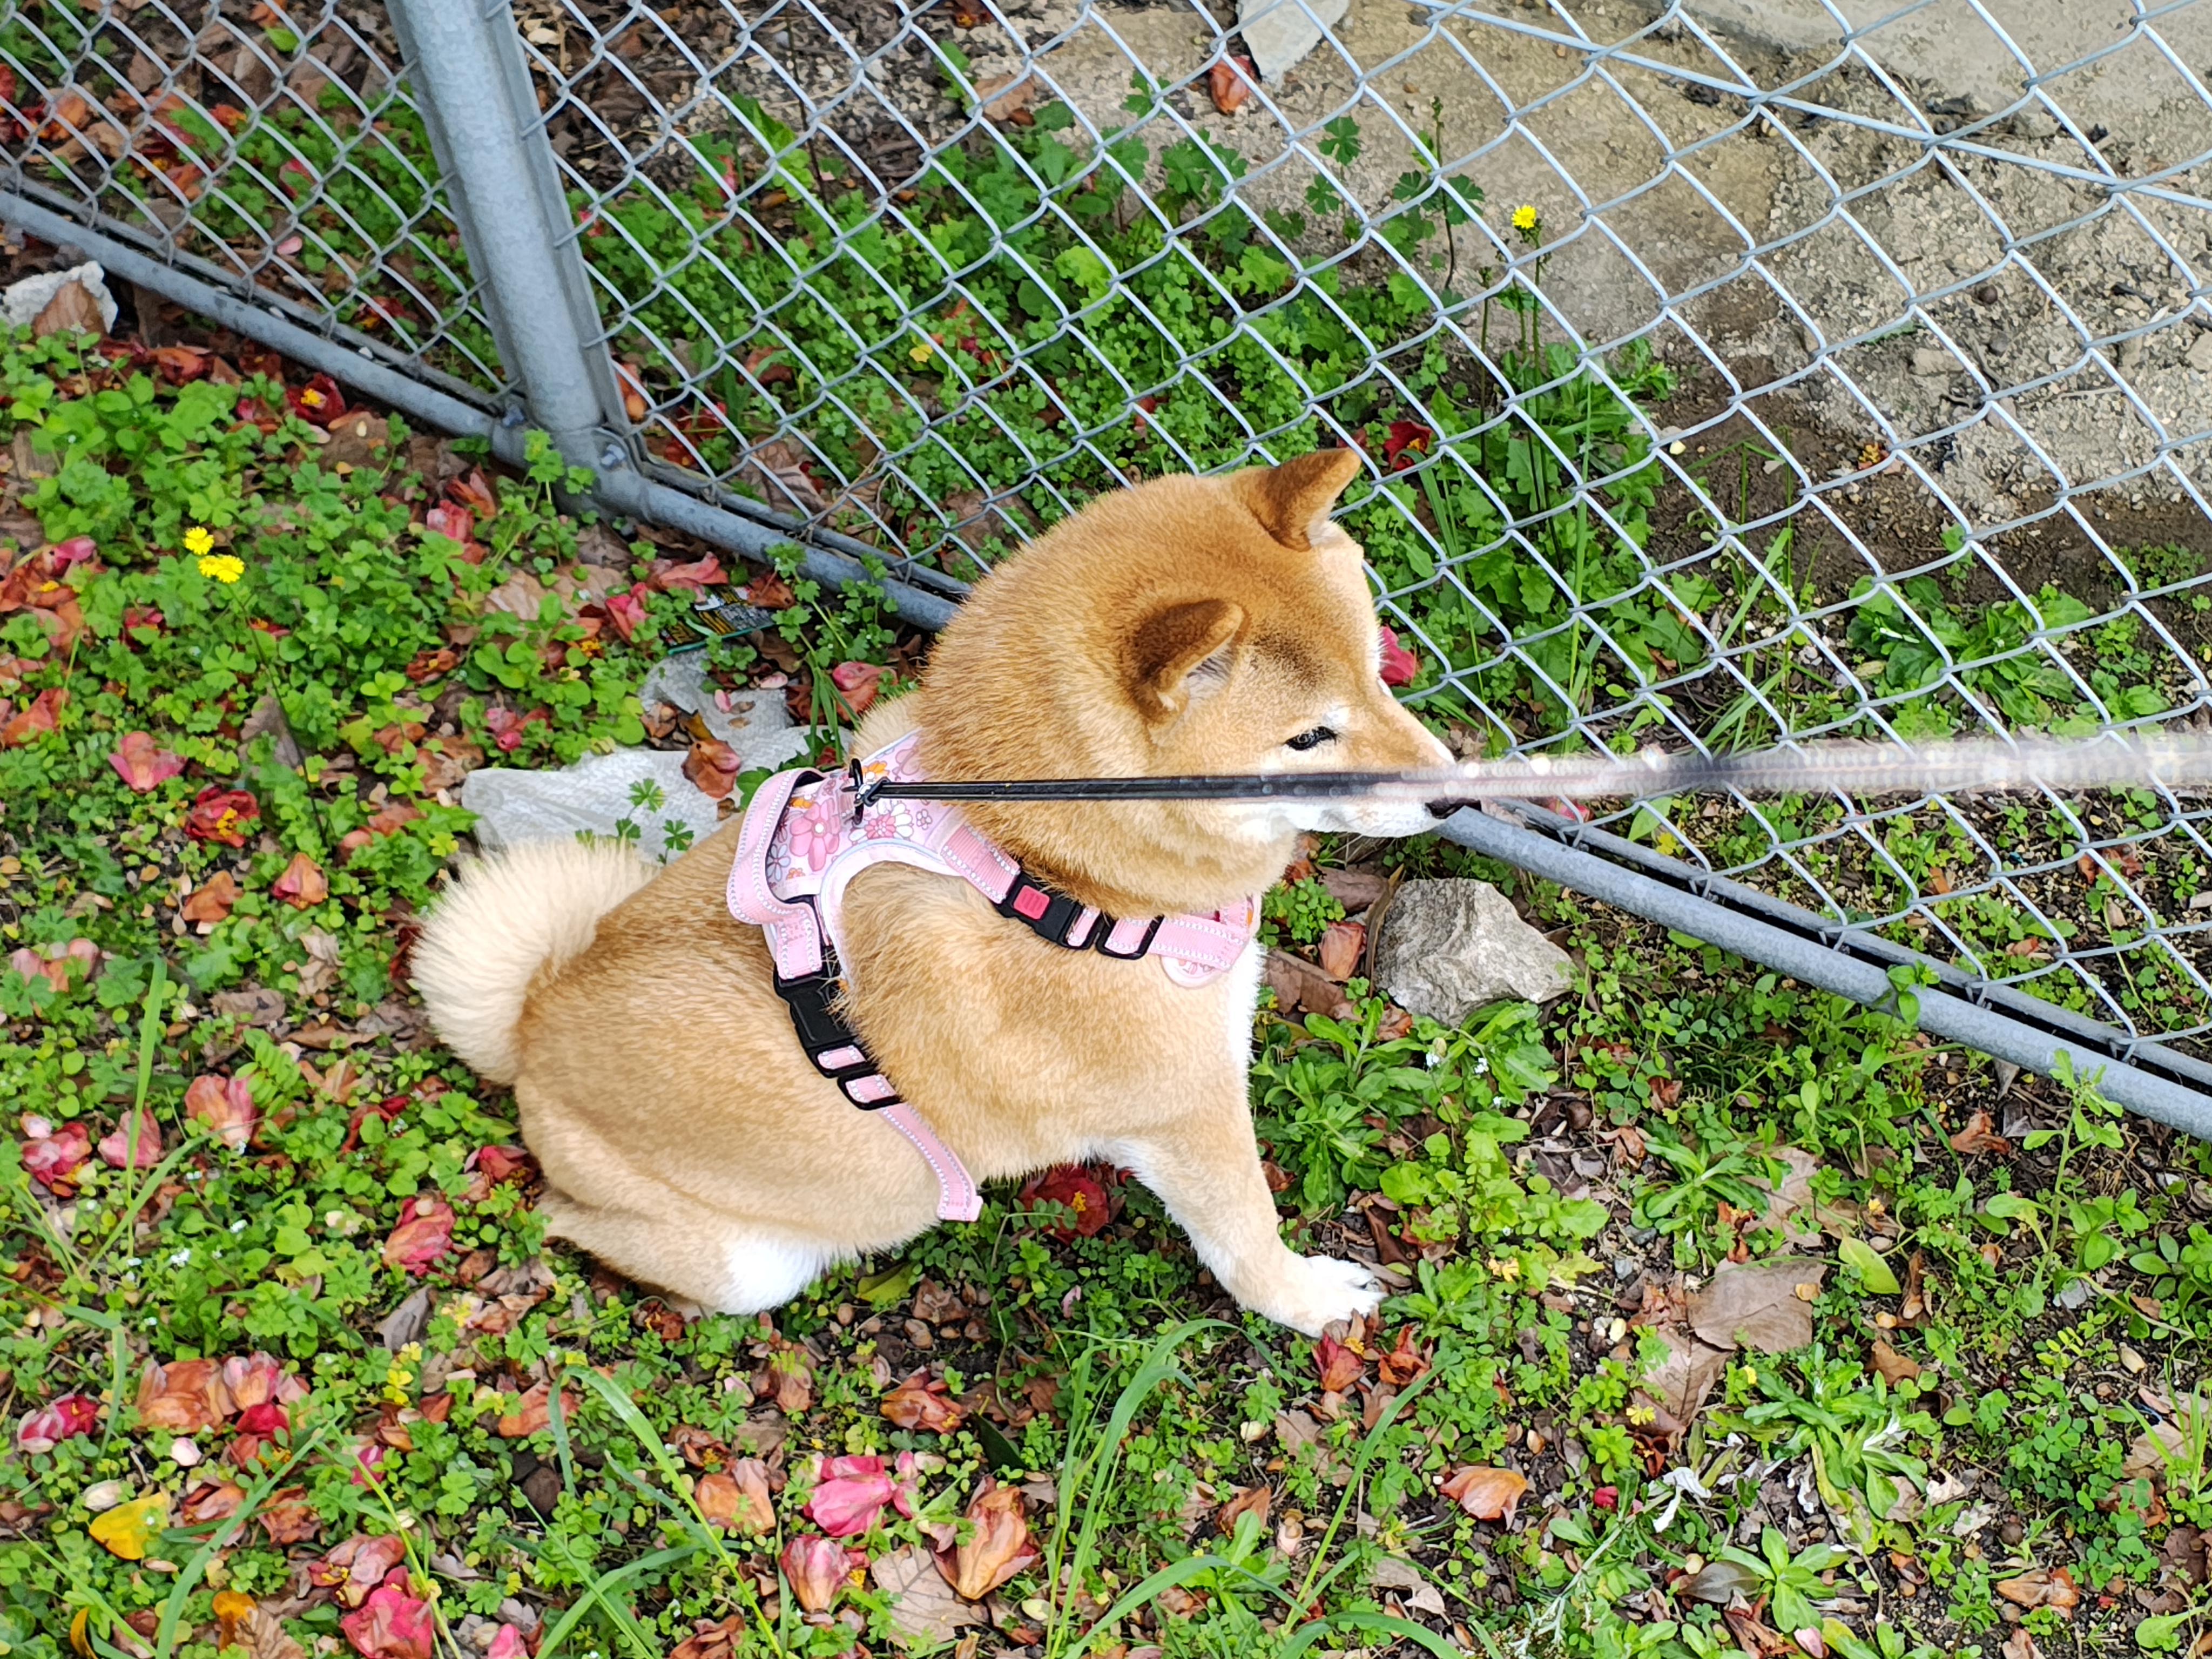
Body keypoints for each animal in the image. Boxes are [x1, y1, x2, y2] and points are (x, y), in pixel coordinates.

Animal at [412, 450, 1452, 1334]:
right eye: (1307, 738)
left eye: (1378, 667)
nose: (1451, 792)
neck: (1042, 866)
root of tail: (531, 1028)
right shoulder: (1189, 1115)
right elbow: (1247, 1239)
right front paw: (1309, 1300)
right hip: (751, 1265)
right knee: (570, 1224)